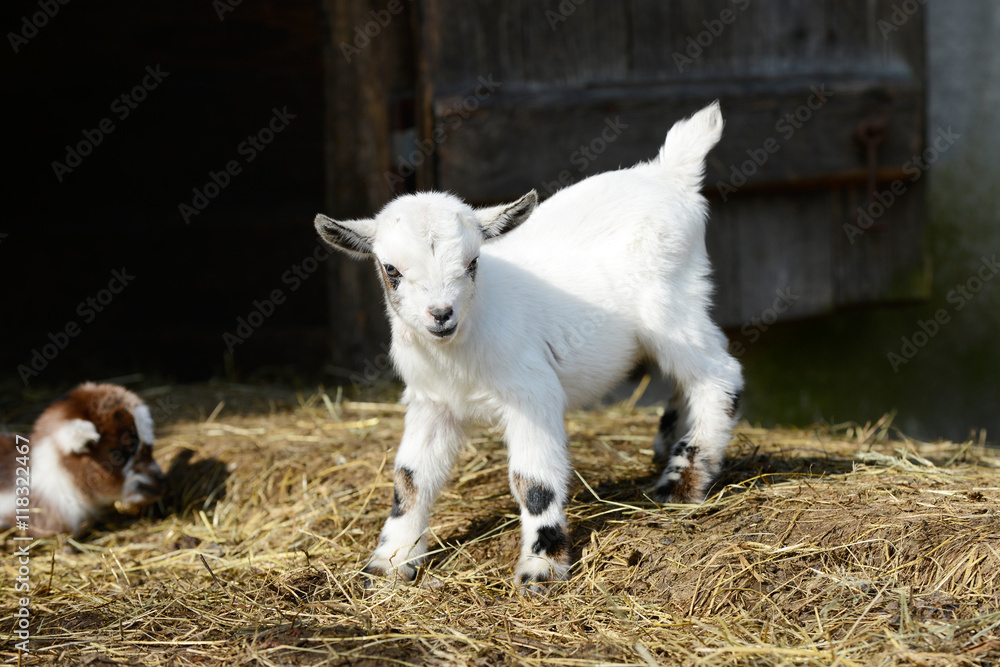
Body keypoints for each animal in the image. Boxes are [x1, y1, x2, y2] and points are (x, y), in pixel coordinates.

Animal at [314, 101, 743, 591]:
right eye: (391, 270)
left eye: (473, 262)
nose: (441, 314)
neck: (462, 342)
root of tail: (669, 172)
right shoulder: (430, 401)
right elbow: (410, 480)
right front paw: (389, 562)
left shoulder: (532, 393)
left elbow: (533, 483)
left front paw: (542, 566)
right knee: (685, 378)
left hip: (672, 307)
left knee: (719, 374)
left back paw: (684, 480)